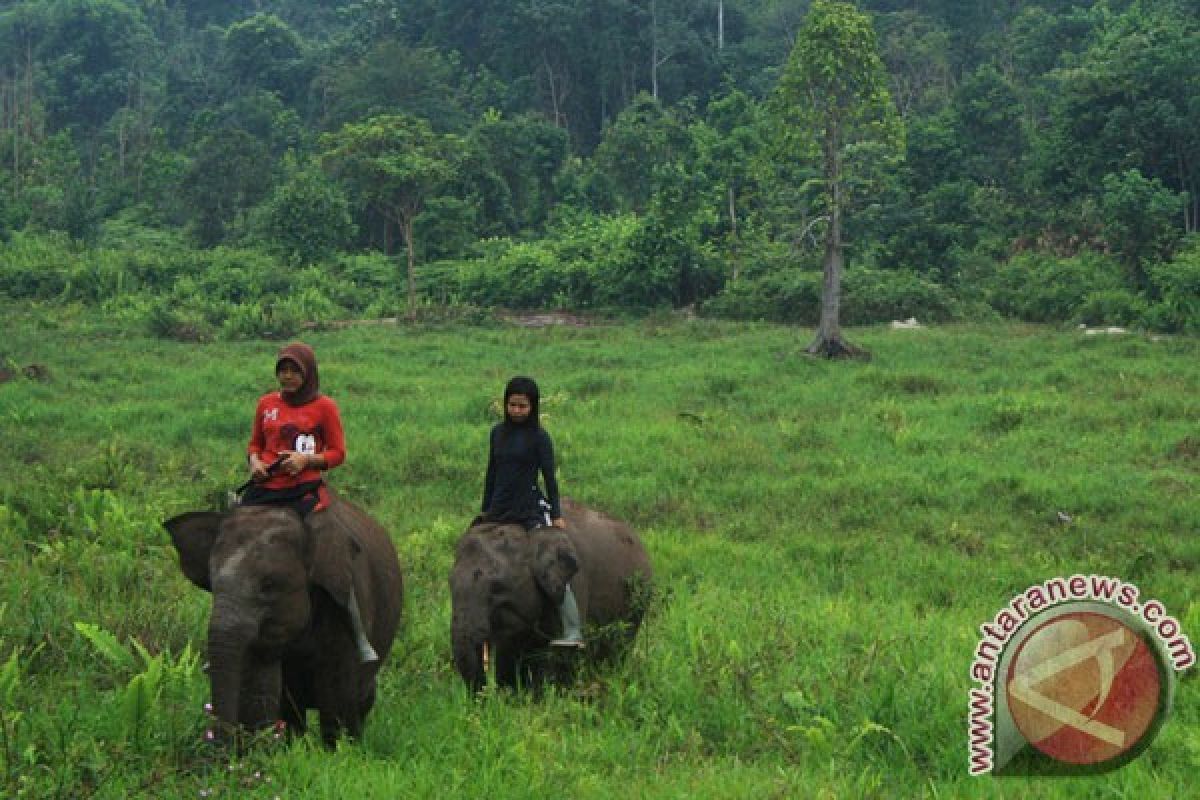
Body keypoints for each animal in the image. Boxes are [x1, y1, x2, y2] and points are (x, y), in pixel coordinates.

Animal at [164, 491, 403, 748]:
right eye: (212, 584)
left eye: (268, 586)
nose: (218, 746)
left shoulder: (344, 602)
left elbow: (336, 693)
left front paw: (338, 750)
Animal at [451, 496, 657, 690]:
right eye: (451, 587)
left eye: (497, 588)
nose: (484, 696)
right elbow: (508, 655)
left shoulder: (573, 584)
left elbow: (556, 654)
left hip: (636, 601)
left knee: (617, 647)